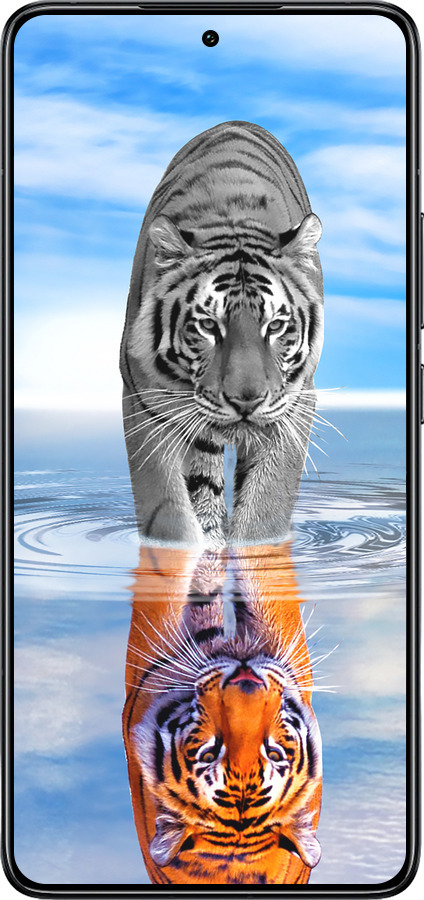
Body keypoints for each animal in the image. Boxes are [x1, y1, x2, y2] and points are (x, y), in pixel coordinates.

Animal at [120, 121, 324, 549]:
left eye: (275, 326)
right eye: (208, 326)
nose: (246, 401)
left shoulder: (295, 404)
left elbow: (266, 509)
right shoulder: (144, 401)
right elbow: (168, 512)